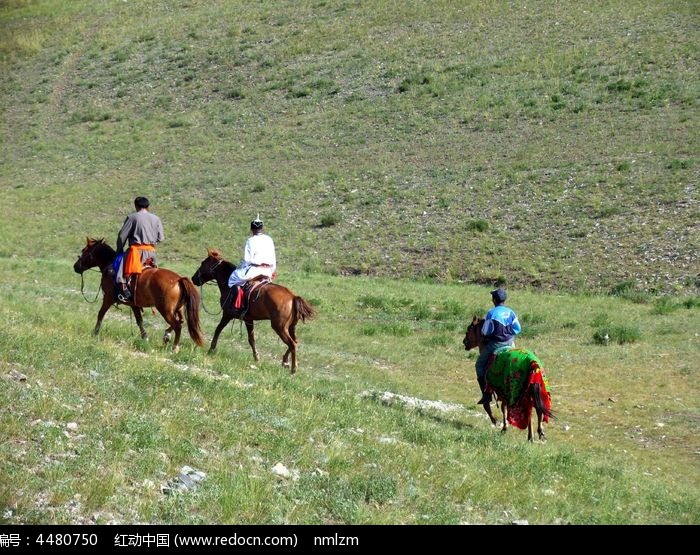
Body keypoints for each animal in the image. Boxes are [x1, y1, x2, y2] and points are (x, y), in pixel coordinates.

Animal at [74, 238, 205, 352]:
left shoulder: (108, 299)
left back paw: (174, 347)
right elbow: (139, 321)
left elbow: (101, 314)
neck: (110, 266)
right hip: (178, 309)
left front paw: (95, 333)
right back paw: (167, 335)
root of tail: (179, 279)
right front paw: (145, 338)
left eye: (84, 250)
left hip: (165, 310)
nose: (76, 267)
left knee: (177, 325)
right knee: (180, 321)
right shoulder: (134, 305)